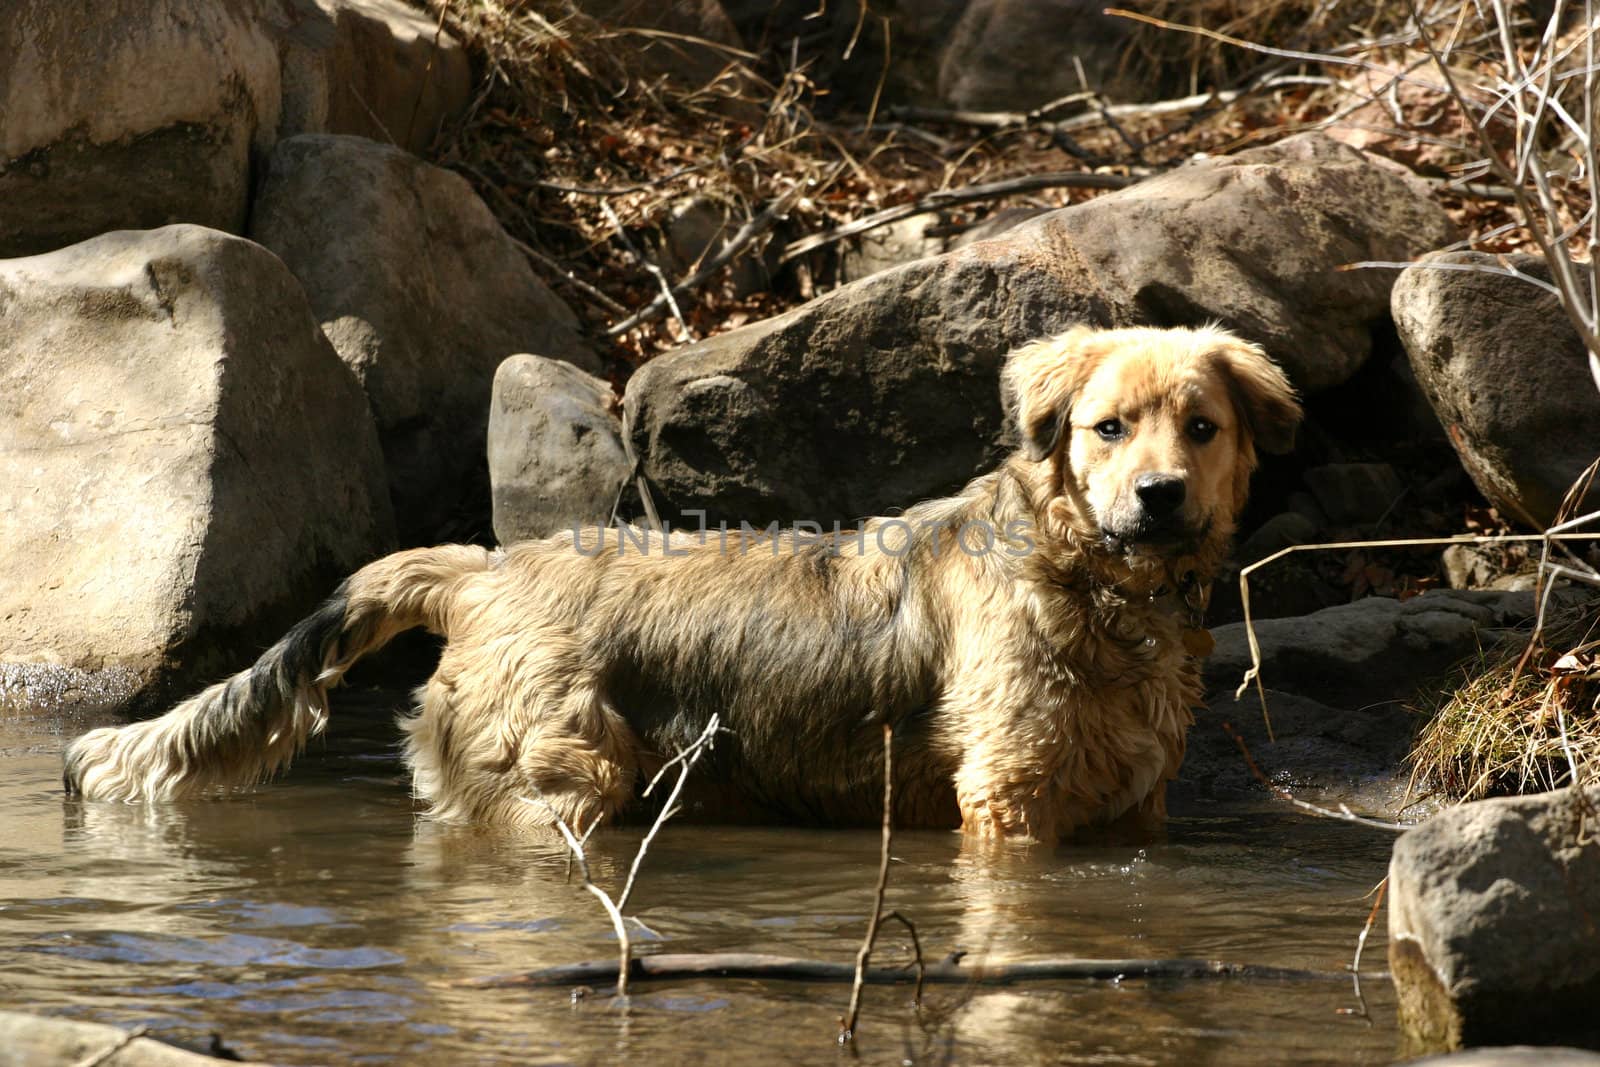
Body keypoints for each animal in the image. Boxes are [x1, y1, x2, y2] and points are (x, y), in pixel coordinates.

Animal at [62, 326, 1299, 844]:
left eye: (1200, 426)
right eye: (1106, 428)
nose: (1159, 496)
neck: (1094, 578)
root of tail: (483, 569)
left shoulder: (1136, 801)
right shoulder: (1007, 797)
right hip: (555, 787)